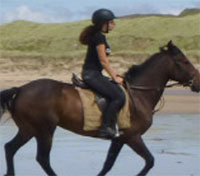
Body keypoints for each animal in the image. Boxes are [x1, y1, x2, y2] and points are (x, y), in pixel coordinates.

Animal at [0, 40, 199, 175]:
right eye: (185, 62)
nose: (198, 82)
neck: (139, 94)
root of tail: (21, 89)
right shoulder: (133, 137)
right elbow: (149, 161)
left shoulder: (120, 139)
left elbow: (108, 164)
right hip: (44, 130)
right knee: (42, 159)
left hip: (29, 129)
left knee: (10, 148)